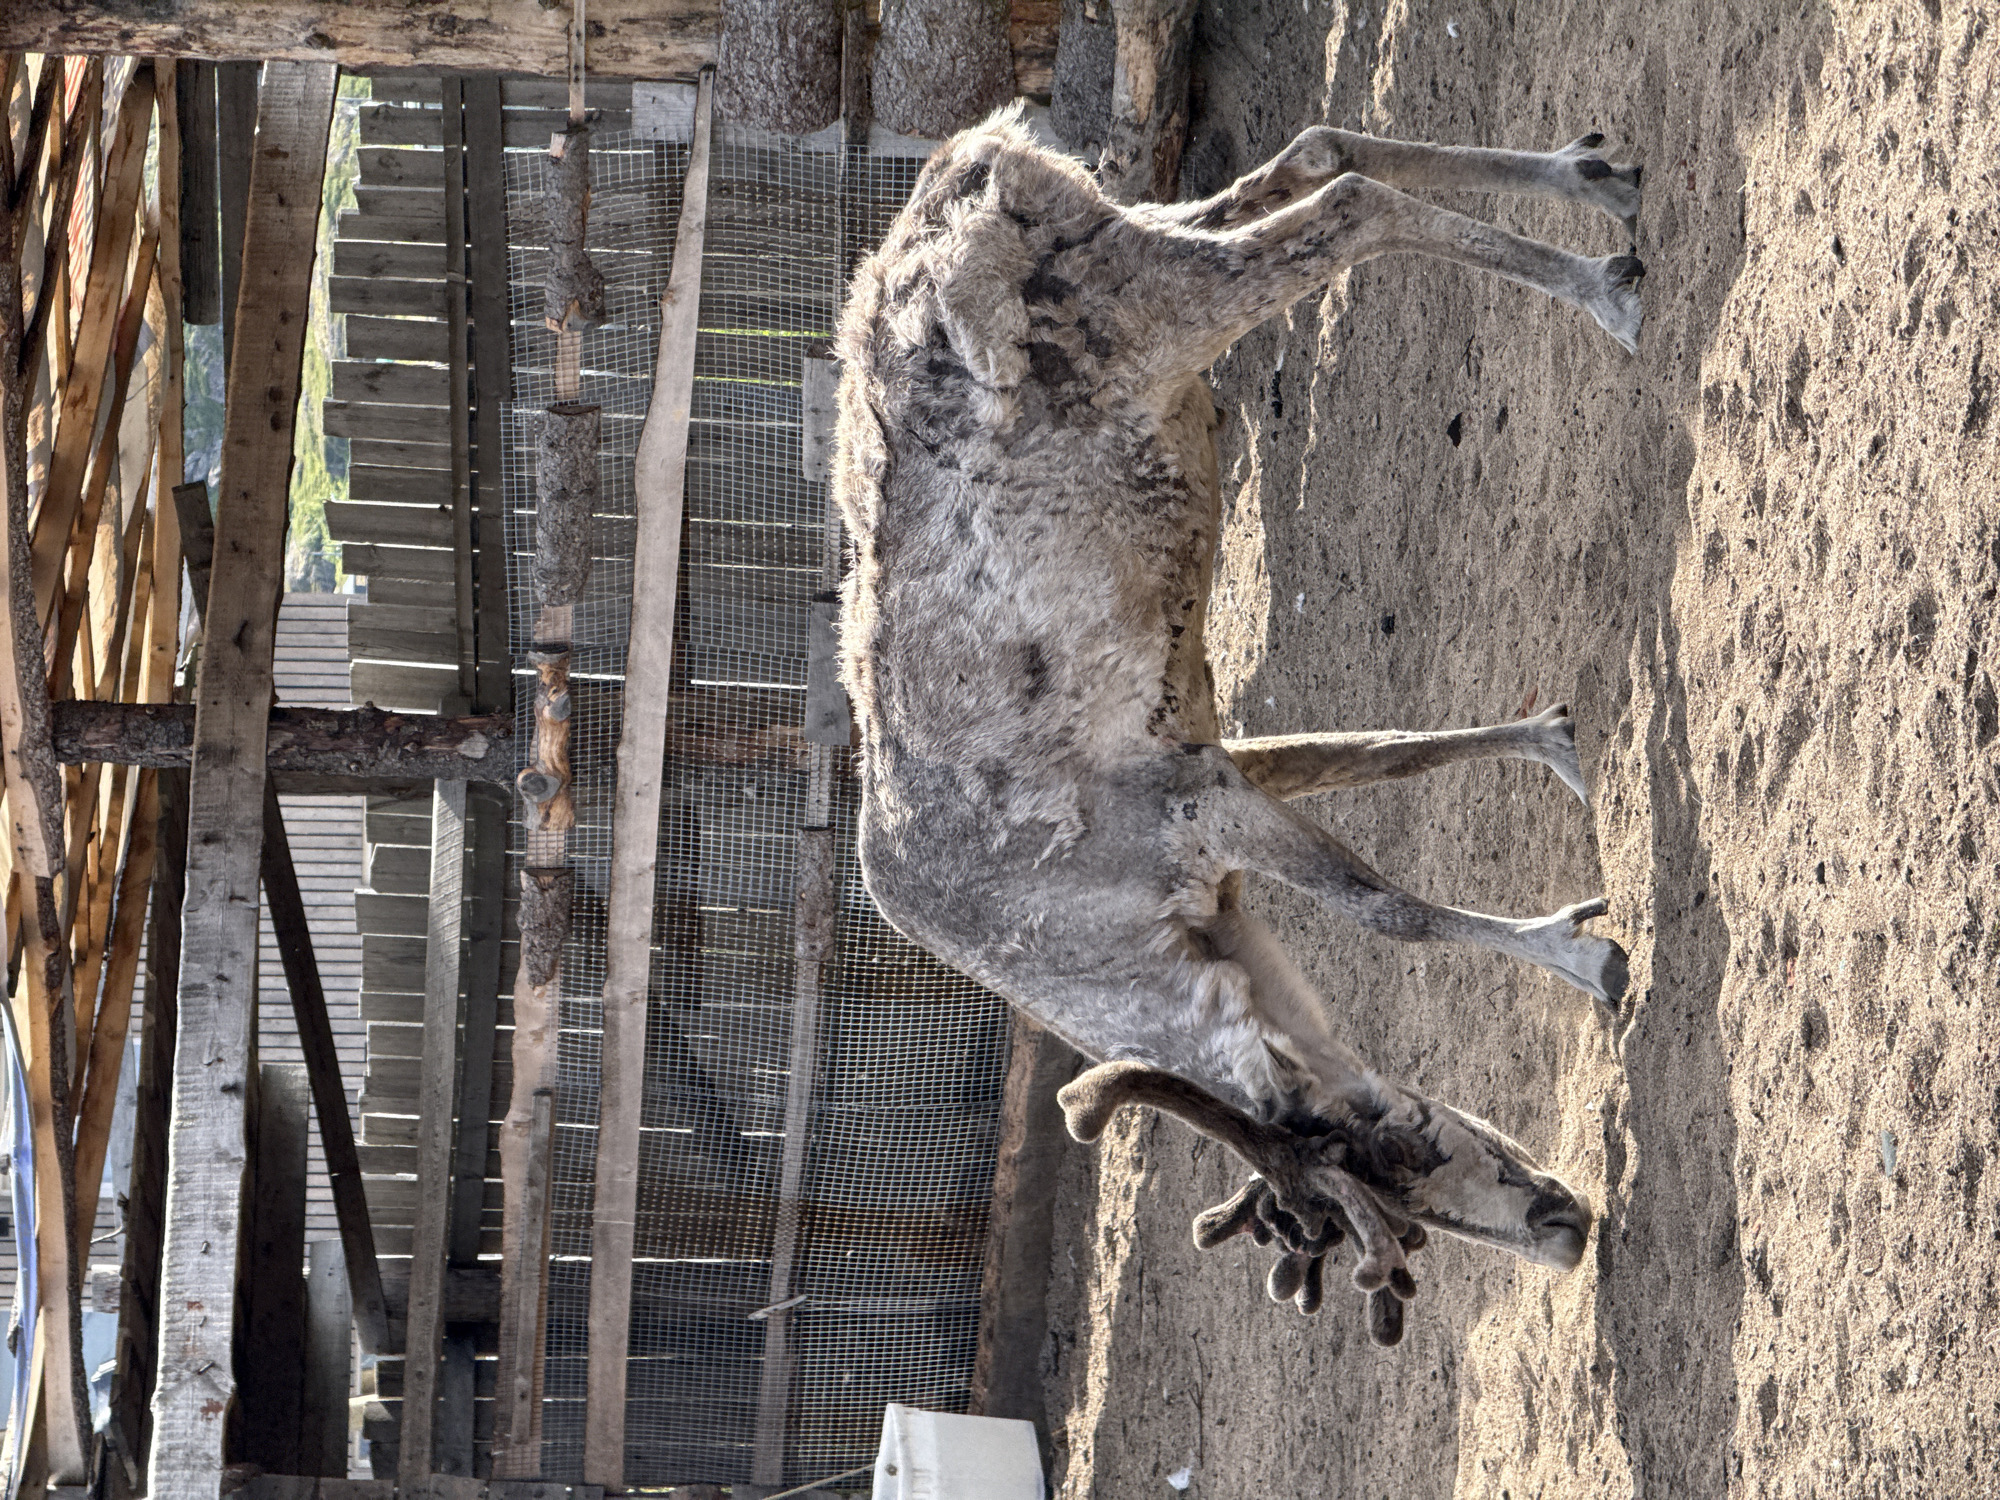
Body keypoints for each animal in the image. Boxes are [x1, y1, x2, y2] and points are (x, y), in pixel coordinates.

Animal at [831, 107, 1642, 1341]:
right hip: (1134, 234)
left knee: (1343, 206)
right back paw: (1593, 179)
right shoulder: (1208, 752)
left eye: (1378, 1151)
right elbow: (1373, 755)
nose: (1560, 1229)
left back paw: (1603, 286)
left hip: (1161, 312)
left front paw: (1584, 953)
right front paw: (1554, 742)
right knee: (1312, 158)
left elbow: (1387, 908)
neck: (1122, 953)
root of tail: (966, 168)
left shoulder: (1191, 808)